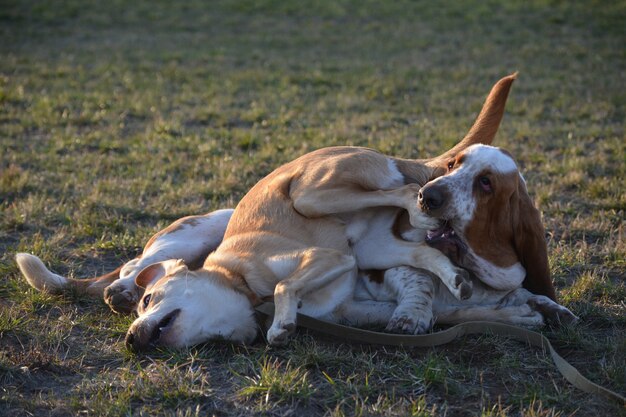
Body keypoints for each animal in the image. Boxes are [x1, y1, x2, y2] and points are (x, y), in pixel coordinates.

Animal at [15, 73, 576, 350]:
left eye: (158, 302)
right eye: (147, 311)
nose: (133, 338)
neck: (244, 286)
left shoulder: (338, 270)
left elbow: (454, 306)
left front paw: (521, 312)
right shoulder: (353, 288)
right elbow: (441, 305)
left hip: (325, 199)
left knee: (404, 203)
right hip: (277, 218)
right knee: (136, 261)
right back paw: (120, 287)